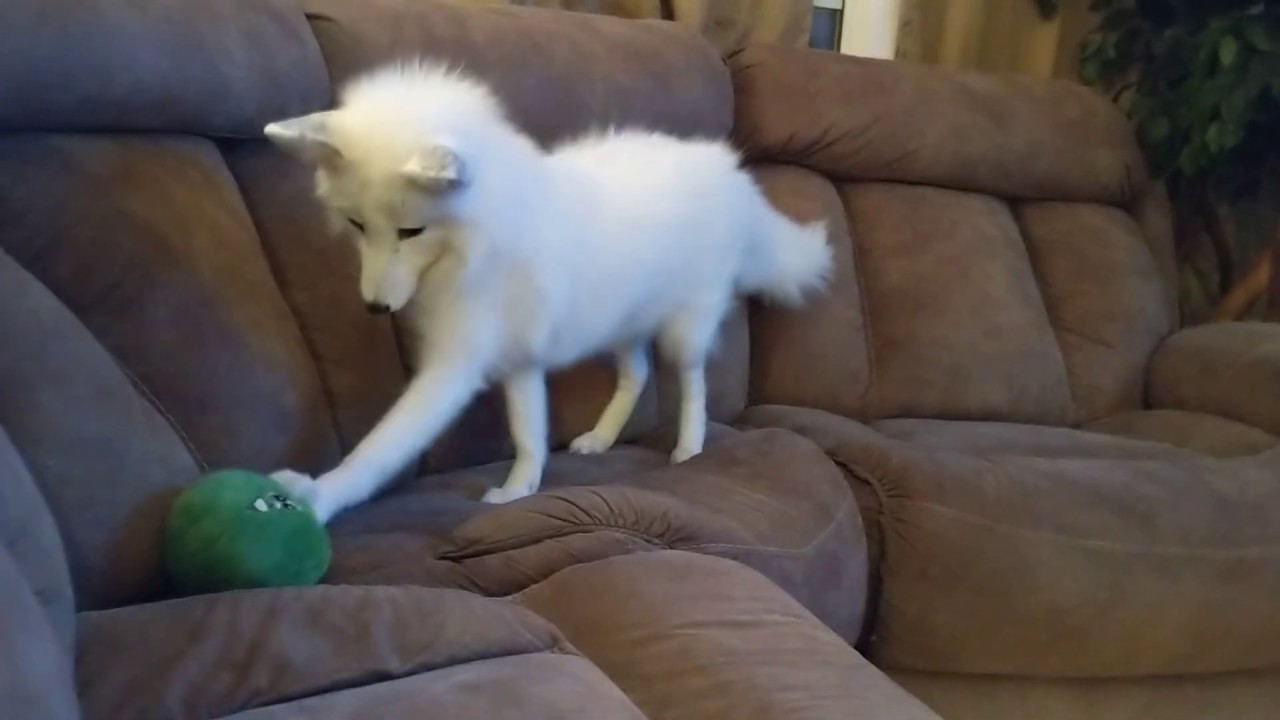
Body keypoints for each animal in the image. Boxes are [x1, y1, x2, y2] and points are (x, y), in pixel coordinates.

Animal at [264, 61, 832, 523]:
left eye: (411, 231)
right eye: (357, 225)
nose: (374, 308)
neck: (484, 234)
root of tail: (731, 173)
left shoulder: (456, 366)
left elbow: (383, 445)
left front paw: (320, 497)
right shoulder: (520, 361)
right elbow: (528, 434)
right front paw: (520, 490)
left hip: (684, 330)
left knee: (693, 384)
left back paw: (690, 448)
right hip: (620, 325)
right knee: (637, 375)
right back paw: (601, 438)